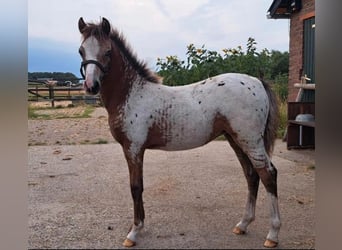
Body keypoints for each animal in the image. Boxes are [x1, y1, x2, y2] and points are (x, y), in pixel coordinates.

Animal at [77, 17, 280, 248]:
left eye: (108, 51)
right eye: (81, 51)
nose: (91, 86)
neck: (132, 94)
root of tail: (258, 82)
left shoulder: (133, 148)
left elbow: (136, 187)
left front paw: (134, 232)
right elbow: (138, 187)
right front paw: (137, 227)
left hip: (250, 140)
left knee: (268, 175)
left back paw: (272, 235)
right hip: (235, 139)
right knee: (252, 175)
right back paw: (243, 224)